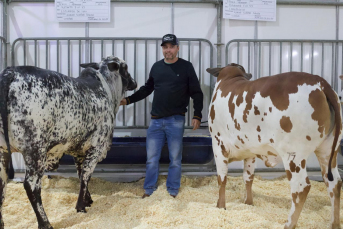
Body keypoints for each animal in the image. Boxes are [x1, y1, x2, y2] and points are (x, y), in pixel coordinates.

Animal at [0, 56, 137, 229]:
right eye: (125, 68)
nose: (135, 82)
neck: (106, 90)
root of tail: (11, 72)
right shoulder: (96, 147)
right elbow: (85, 176)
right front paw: (81, 206)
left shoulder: (78, 152)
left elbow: (81, 175)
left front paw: (88, 200)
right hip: (35, 151)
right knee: (31, 186)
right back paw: (45, 223)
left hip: (4, 152)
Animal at [207, 64, 343, 229]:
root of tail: (320, 82)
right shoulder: (250, 152)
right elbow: (248, 177)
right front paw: (248, 203)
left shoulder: (218, 145)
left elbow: (222, 179)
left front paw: (220, 206)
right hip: (328, 151)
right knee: (334, 183)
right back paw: (334, 223)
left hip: (294, 155)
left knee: (301, 188)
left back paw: (289, 224)